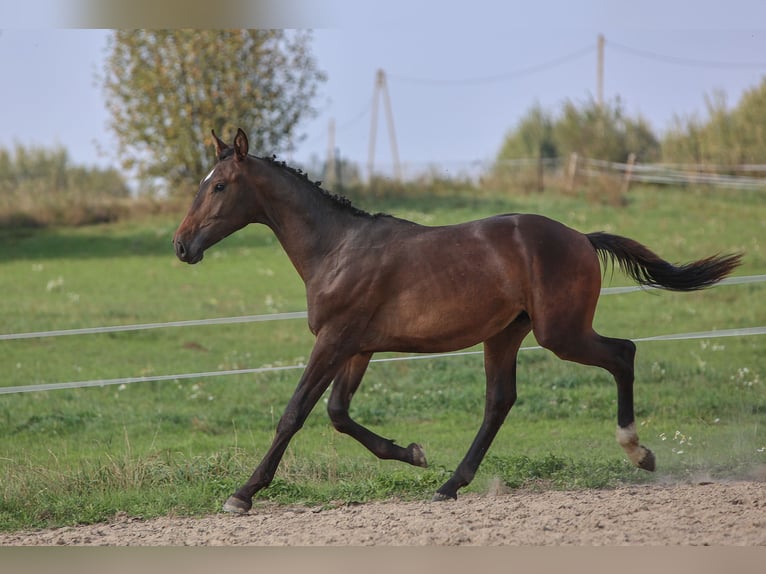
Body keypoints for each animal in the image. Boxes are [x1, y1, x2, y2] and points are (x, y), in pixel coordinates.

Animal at [172, 128, 744, 516]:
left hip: (559, 332)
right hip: (506, 334)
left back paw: (638, 452)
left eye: (219, 186)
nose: (181, 246)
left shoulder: (334, 340)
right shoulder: (357, 346)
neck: (336, 249)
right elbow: (337, 413)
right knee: (500, 400)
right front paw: (413, 453)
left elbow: (294, 414)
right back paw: (449, 484)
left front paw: (242, 494)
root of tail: (581, 237)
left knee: (623, 352)